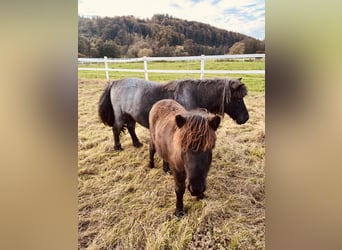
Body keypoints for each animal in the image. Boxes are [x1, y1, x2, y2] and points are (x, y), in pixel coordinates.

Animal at [99, 77, 248, 150]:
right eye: (238, 98)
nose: (246, 118)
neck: (194, 95)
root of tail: (114, 83)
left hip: (130, 115)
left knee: (130, 128)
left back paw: (137, 143)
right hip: (120, 115)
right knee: (116, 129)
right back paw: (117, 147)